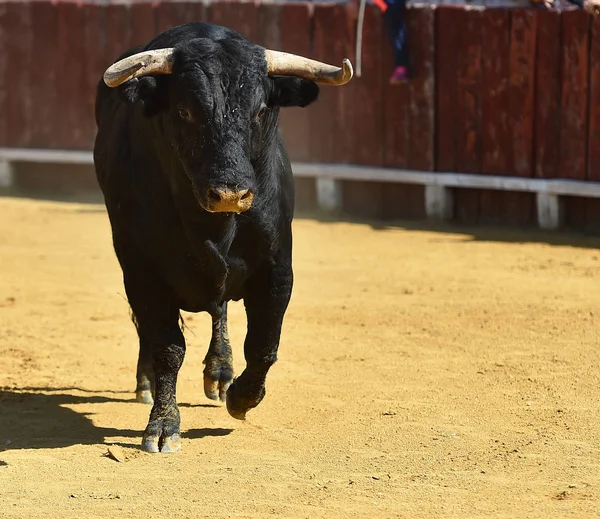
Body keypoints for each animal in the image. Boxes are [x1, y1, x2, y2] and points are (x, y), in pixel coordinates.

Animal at [93, 22, 354, 452]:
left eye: (261, 110)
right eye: (184, 111)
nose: (230, 194)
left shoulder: (277, 268)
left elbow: (264, 343)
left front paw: (242, 398)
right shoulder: (143, 270)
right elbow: (167, 346)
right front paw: (162, 426)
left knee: (221, 310)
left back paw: (220, 370)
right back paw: (147, 382)